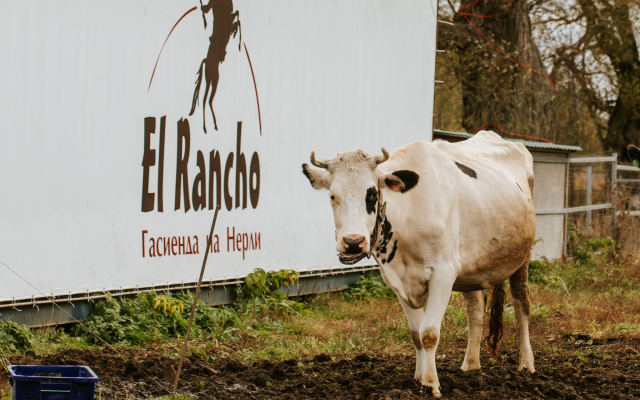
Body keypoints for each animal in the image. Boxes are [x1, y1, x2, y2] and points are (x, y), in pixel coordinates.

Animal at [302, 131, 536, 396]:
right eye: (332, 195)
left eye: (372, 194)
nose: (352, 242)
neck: (408, 214)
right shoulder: (397, 279)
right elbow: (416, 334)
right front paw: (418, 379)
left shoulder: (443, 273)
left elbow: (429, 334)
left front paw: (431, 384)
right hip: (472, 268)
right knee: (476, 310)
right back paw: (470, 366)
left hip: (522, 257)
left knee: (522, 304)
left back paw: (526, 365)